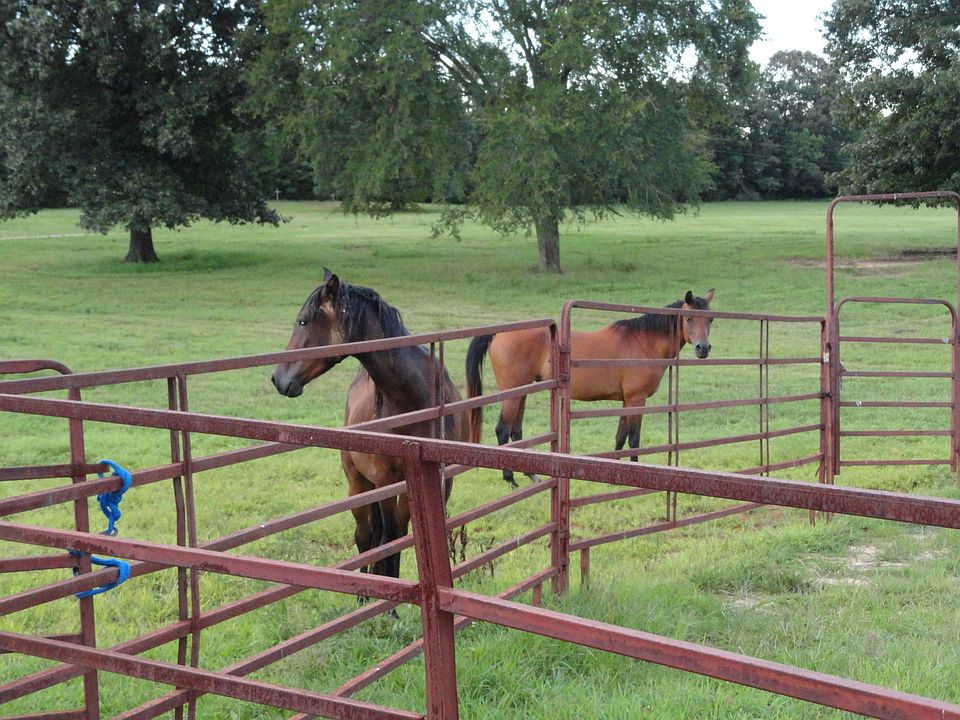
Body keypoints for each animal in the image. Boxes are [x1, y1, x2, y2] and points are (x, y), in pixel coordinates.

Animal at [271, 269, 468, 579]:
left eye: (303, 320)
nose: (278, 379)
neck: (414, 398)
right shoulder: (385, 481)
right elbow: (387, 539)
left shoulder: (438, 481)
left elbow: (401, 536)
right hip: (358, 482)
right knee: (365, 536)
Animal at [466, 290, 715, 487]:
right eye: (689, 318)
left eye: (710, 320)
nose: (703, 348)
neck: (644, 342)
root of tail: (499, 333)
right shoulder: (637, 399)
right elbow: (634, 439)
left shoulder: (626, 400)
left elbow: (620, 436)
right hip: (513, 391)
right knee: (503, 430)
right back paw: (511, 479)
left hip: (523, 390)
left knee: (516, 431)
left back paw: (531, 475)